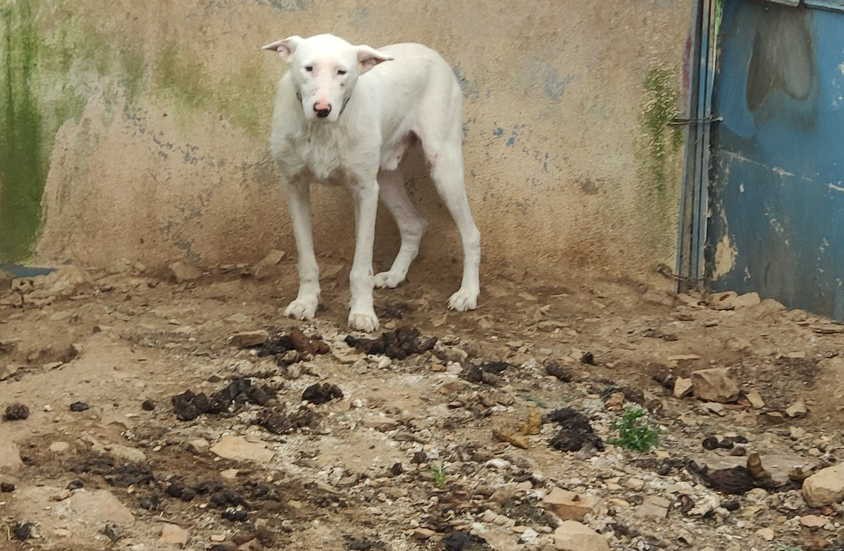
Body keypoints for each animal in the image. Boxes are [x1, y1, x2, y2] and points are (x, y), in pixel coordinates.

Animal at [260, 33, 478, 332]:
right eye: (308, 68)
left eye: (342, 72)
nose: (322, 109)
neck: (323, 129)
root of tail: (430, 52)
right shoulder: (295, 187)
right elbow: (306, 259)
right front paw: (306, 302)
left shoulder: (364, 191)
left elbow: (361, 266)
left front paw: (362, 312)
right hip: (385, 179)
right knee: (414, 224)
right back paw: (395, 275)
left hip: (444, 166)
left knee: (471, 234)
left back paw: (467, 293)